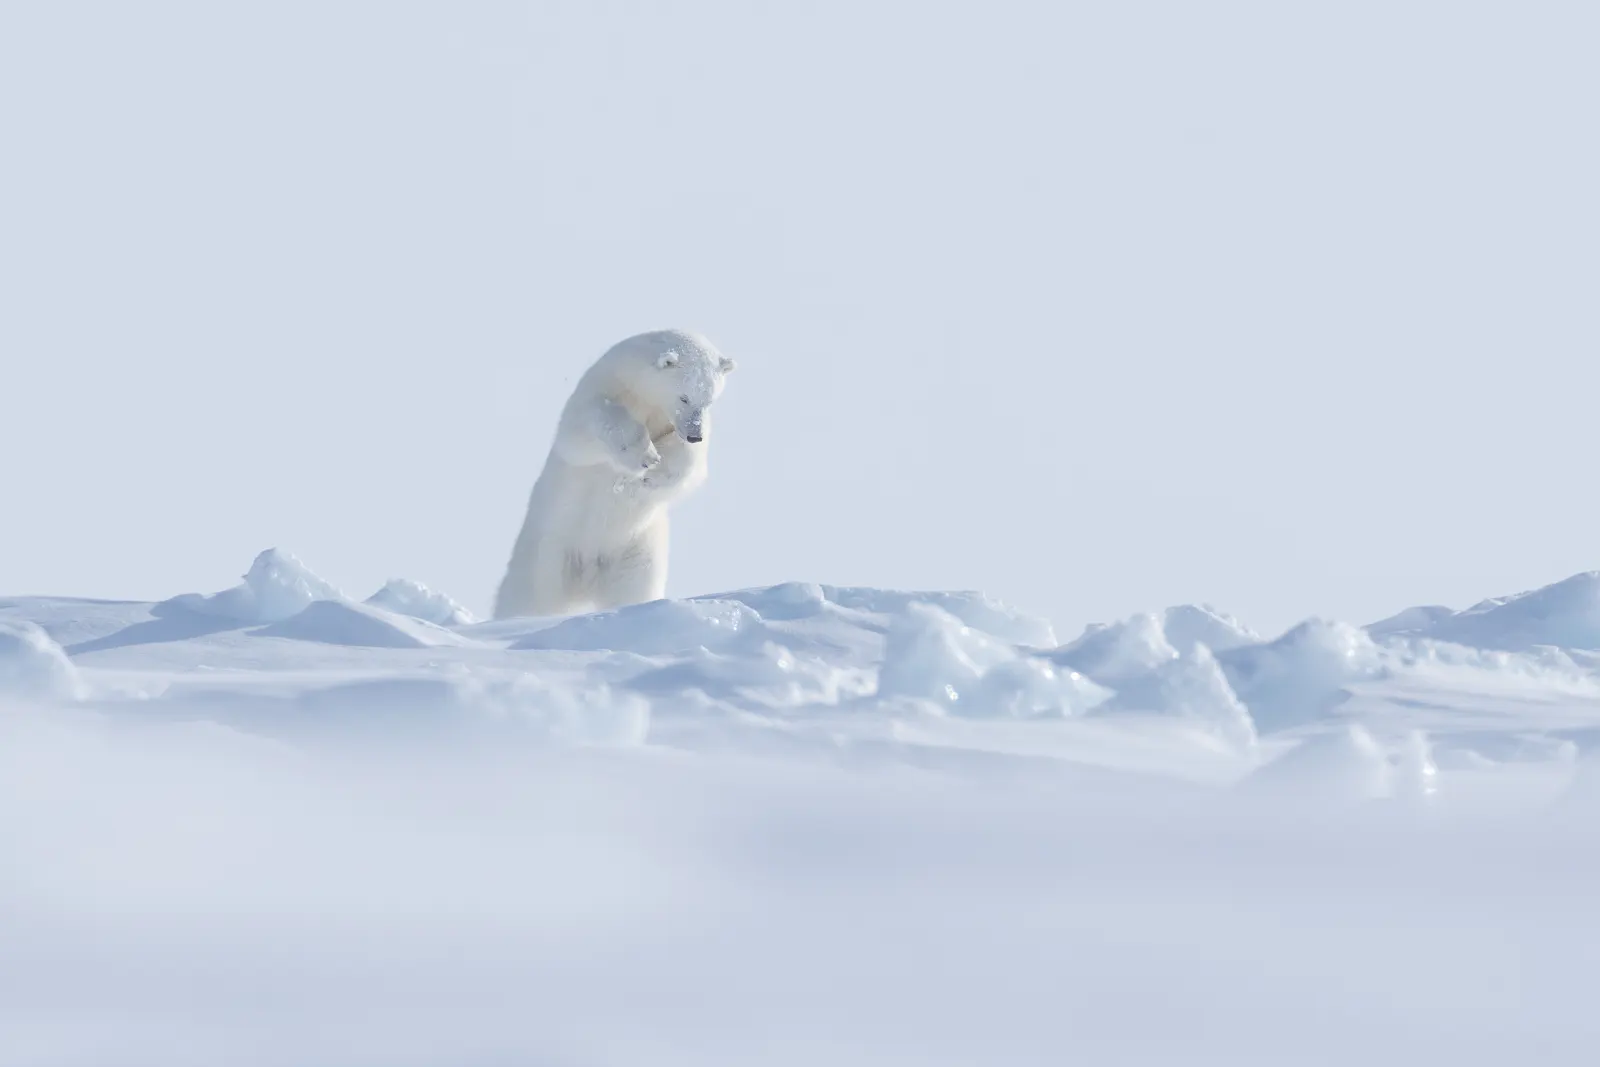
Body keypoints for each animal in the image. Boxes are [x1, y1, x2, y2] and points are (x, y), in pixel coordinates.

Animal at [492, 329, 736, 620]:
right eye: (684, 397)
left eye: (709, 399)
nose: (694, 434)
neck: (643, 396)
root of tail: (587, 578)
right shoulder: (602, 386)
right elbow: (582, 433)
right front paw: (644, 455)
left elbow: (691, 465)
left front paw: (647, 478)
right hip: (545, 554)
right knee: (528, 599)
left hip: (637, 556)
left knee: (633, 593)